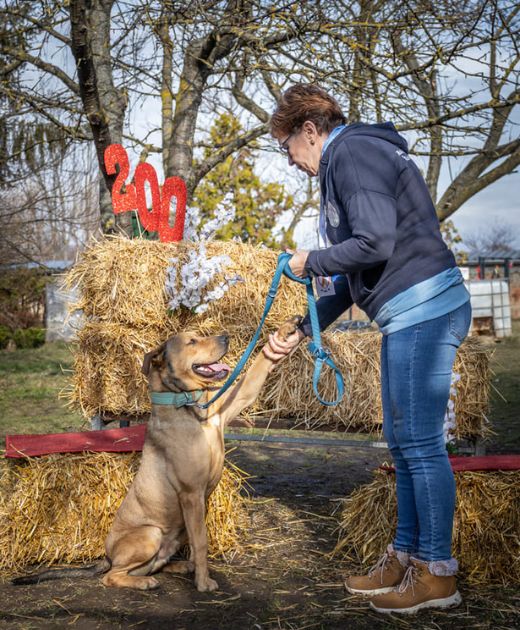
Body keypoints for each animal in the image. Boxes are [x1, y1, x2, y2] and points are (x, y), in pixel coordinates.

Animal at [99, 316, 300, 592]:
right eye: (192, 341)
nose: (226, 337)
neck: (190, 405)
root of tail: (108, 556)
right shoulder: (191, 493)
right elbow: (202, 542)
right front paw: (204, 583)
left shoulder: (239, 396)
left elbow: (259, 365)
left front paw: (286, 330)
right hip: (151, 533)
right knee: (111, 576)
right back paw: (145, 582)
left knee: (155, 563)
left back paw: (180, 566)